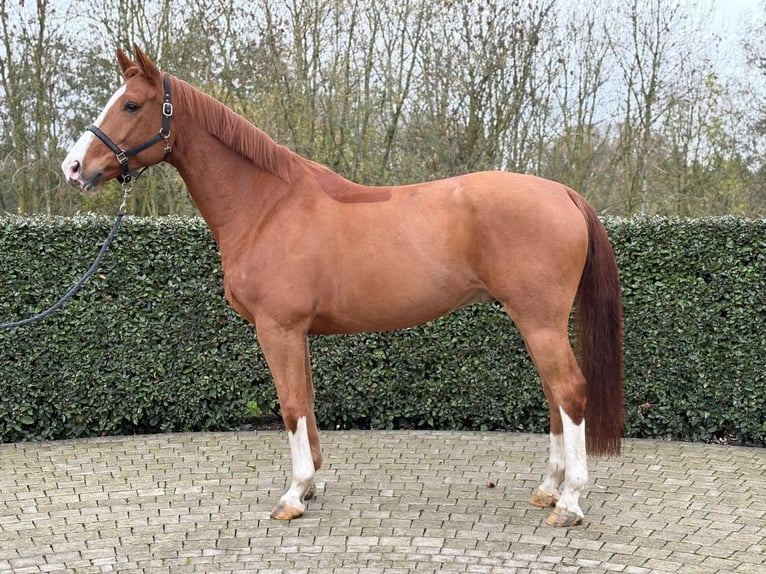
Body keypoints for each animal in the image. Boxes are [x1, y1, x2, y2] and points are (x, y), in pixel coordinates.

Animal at [62, 46, 623, 528]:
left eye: (131, 103)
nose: (73, 167)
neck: (268, 206)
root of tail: (564, 193)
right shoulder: (297, 333)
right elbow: (306, 401)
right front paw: (310, 486)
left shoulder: (278, 329)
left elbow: (290, 404)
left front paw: (293, 495)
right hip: (537, 321)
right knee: (554, 395)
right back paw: (548, 489)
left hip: (539, 320)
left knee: (569, 392)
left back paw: (569, 503)